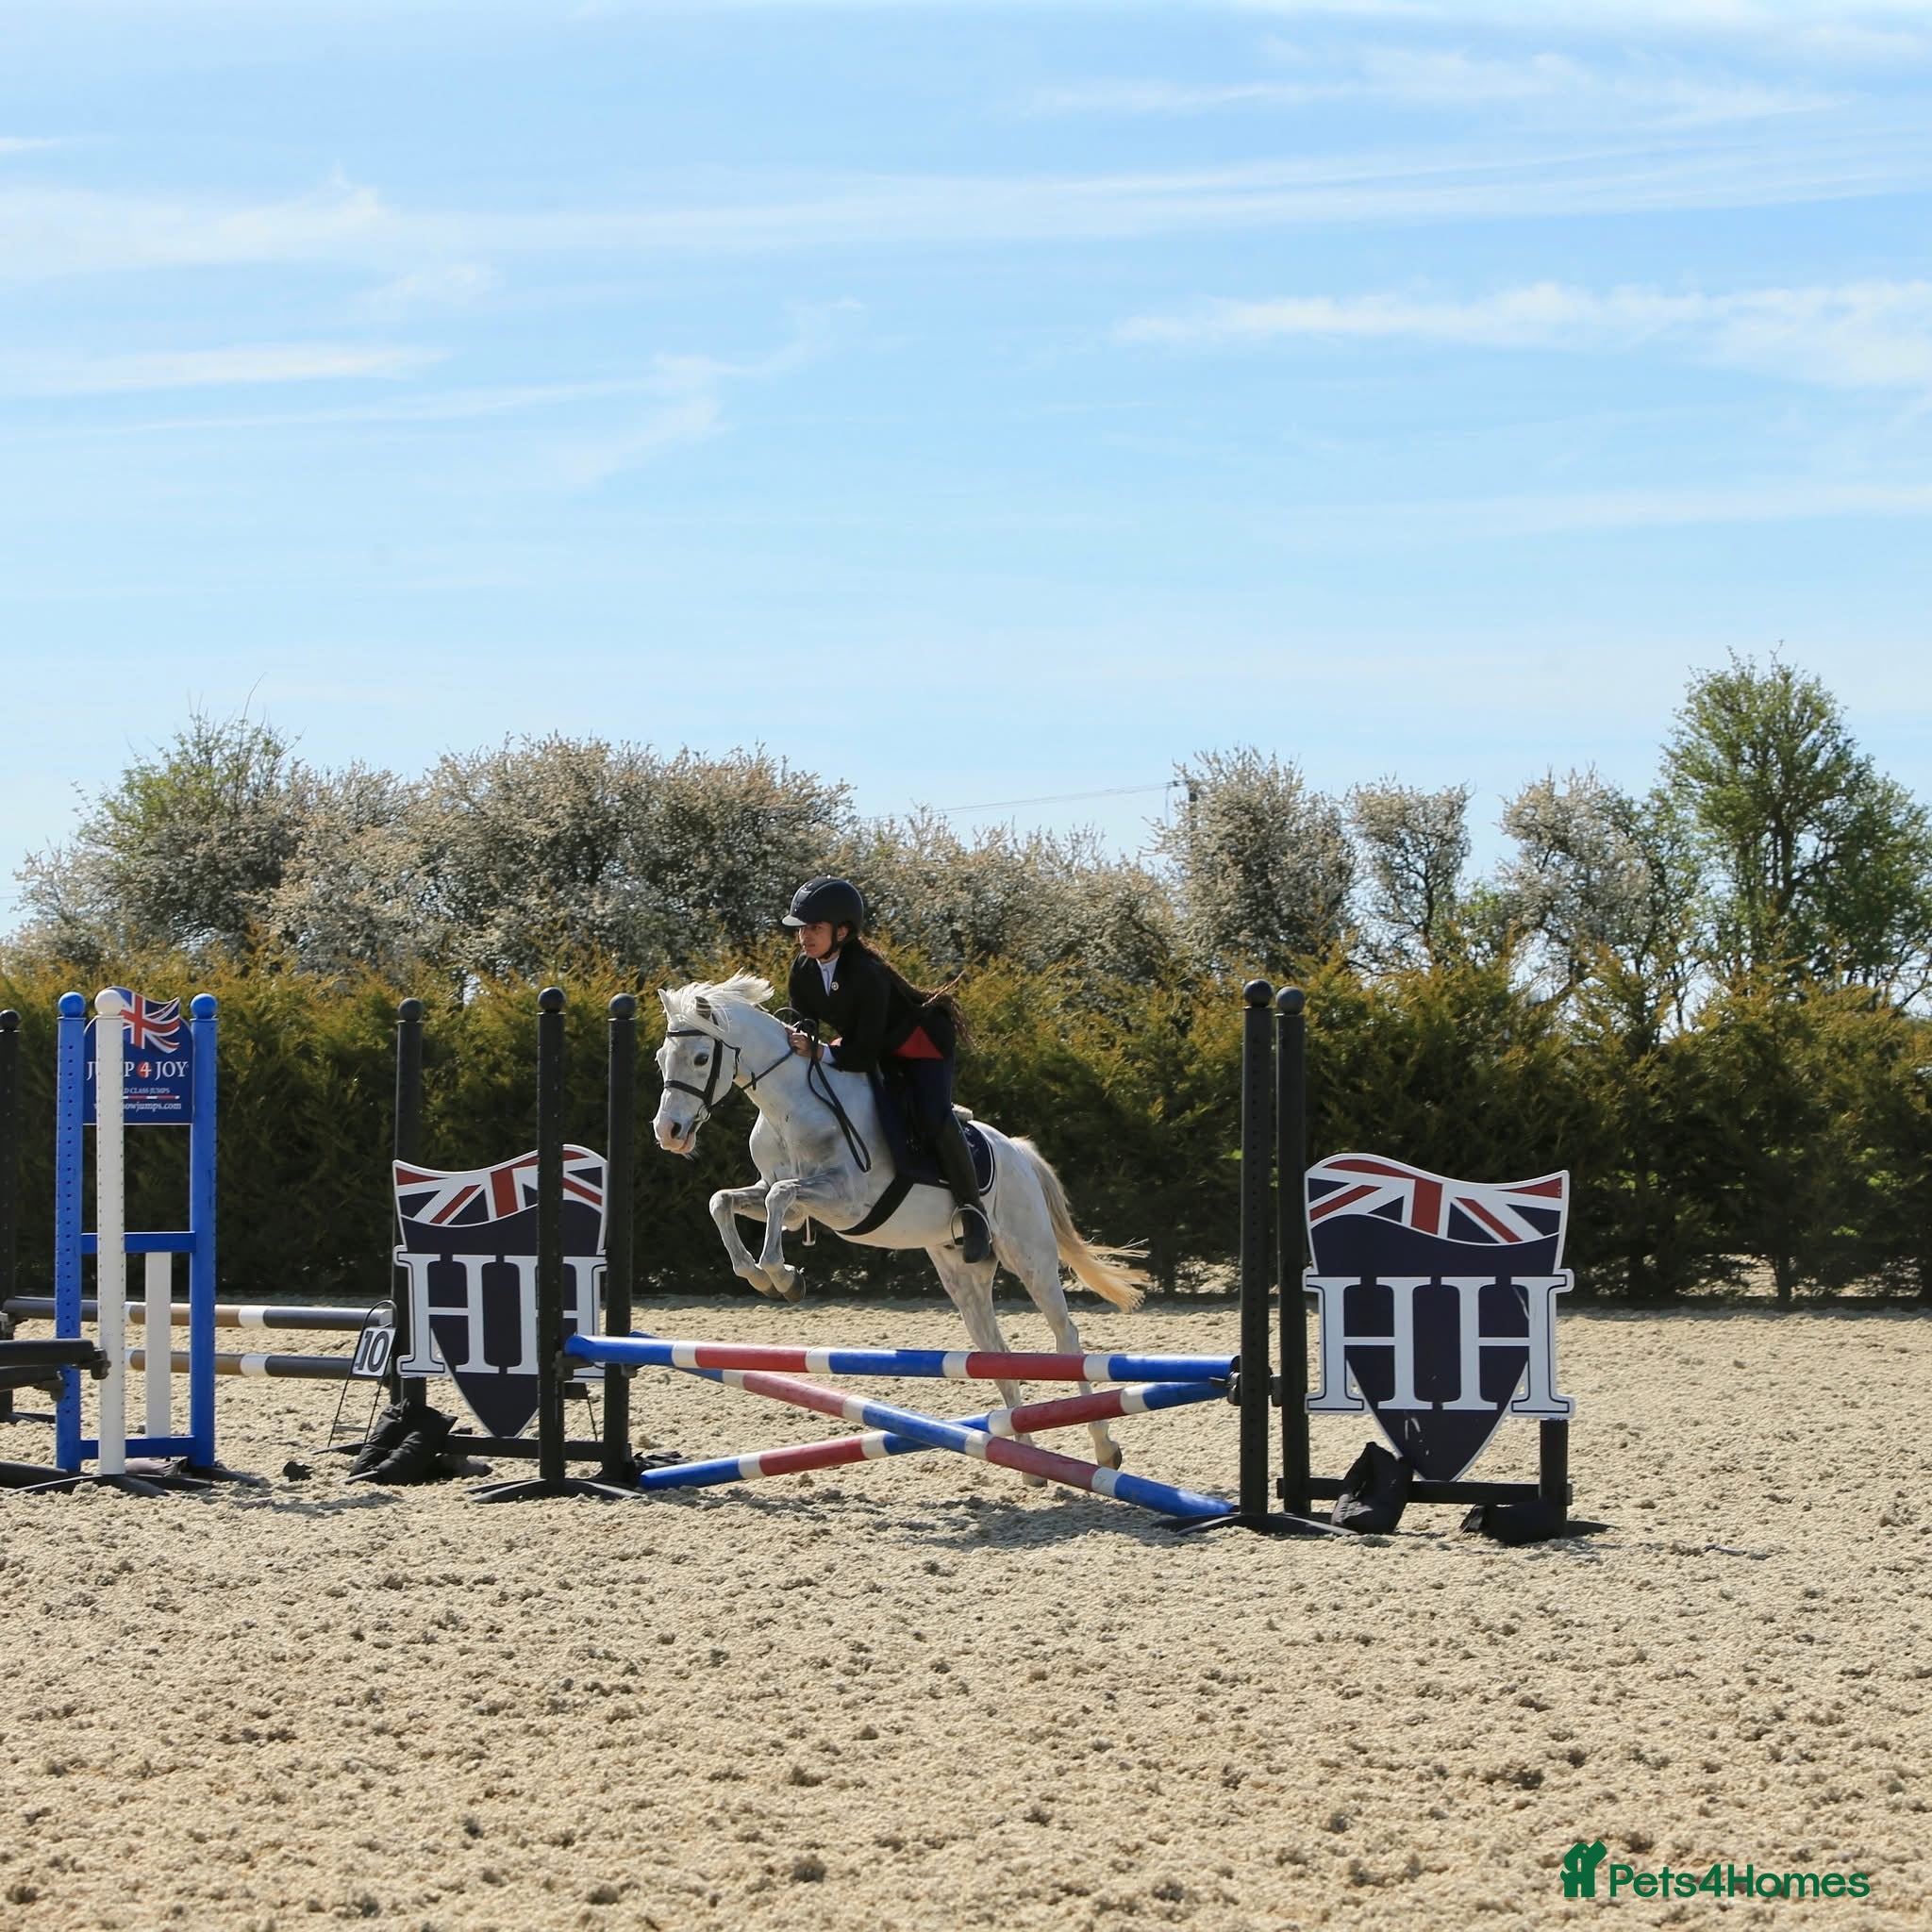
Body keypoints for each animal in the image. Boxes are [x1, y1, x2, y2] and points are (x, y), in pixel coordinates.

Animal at [651, 973, 1149, 1472]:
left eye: (700, 1058)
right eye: (660, 1058)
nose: (668, 1133)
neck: (789, 1107)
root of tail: (1019, 1152)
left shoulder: (846, 1199)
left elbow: (779, 1196)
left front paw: (782, 1277)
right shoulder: (792, 1207)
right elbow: (725, 1201)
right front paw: (761, 1275)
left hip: (1031, 1257)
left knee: (1065, 1338)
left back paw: (1103, 1448)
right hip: (960, 1271)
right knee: (995, 1349)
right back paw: (1026, 1459)